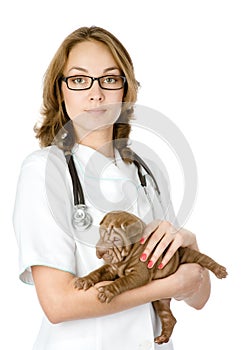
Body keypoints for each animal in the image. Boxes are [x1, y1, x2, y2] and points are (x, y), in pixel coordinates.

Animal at [74, 211, 227, 344]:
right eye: (100, 234)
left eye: (116, 239)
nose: (100, 251)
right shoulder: (111, 268)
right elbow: (97, 272)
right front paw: (84, 280)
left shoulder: (139, 274)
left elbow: (121, 281)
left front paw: (107, 291)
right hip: (160, 301)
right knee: (168, 317)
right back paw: (163, 337)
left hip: (188, 254)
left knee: (205, 259)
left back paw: (220, 270)